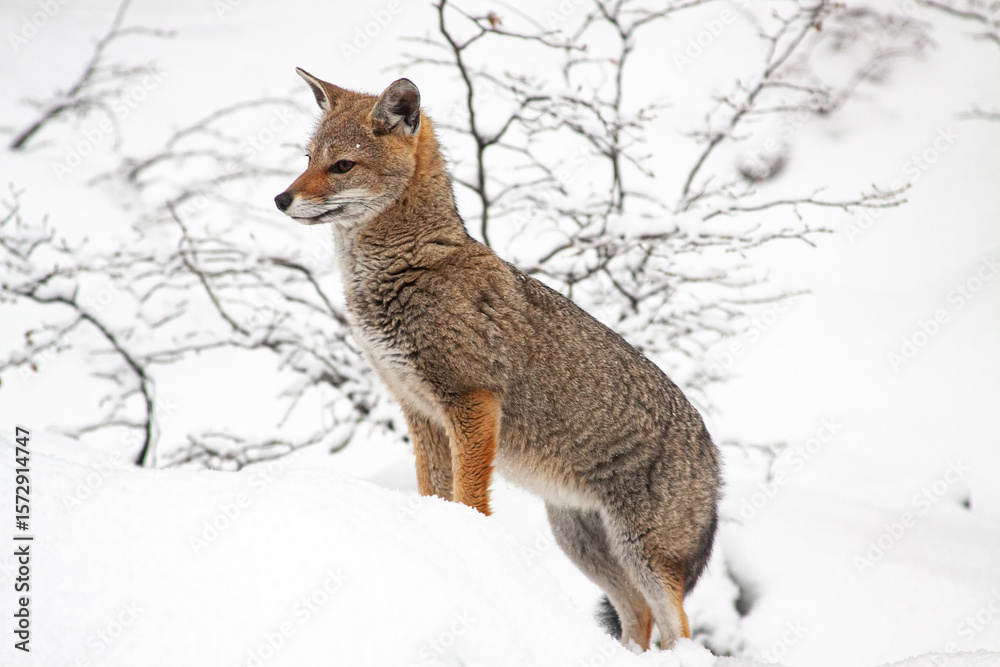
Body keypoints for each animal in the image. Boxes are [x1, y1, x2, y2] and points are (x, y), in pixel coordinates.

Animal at [274, 69, 722, 651]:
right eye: (307, 158)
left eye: (341, 166)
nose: (281, 198)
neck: (406, 270)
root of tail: (715, 455)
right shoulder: (419, 410)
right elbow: (434, 490)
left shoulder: (471, 401)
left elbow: (467, 496)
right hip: (584, 545)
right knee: (637, 619)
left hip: (641, 554)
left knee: (678, 626)